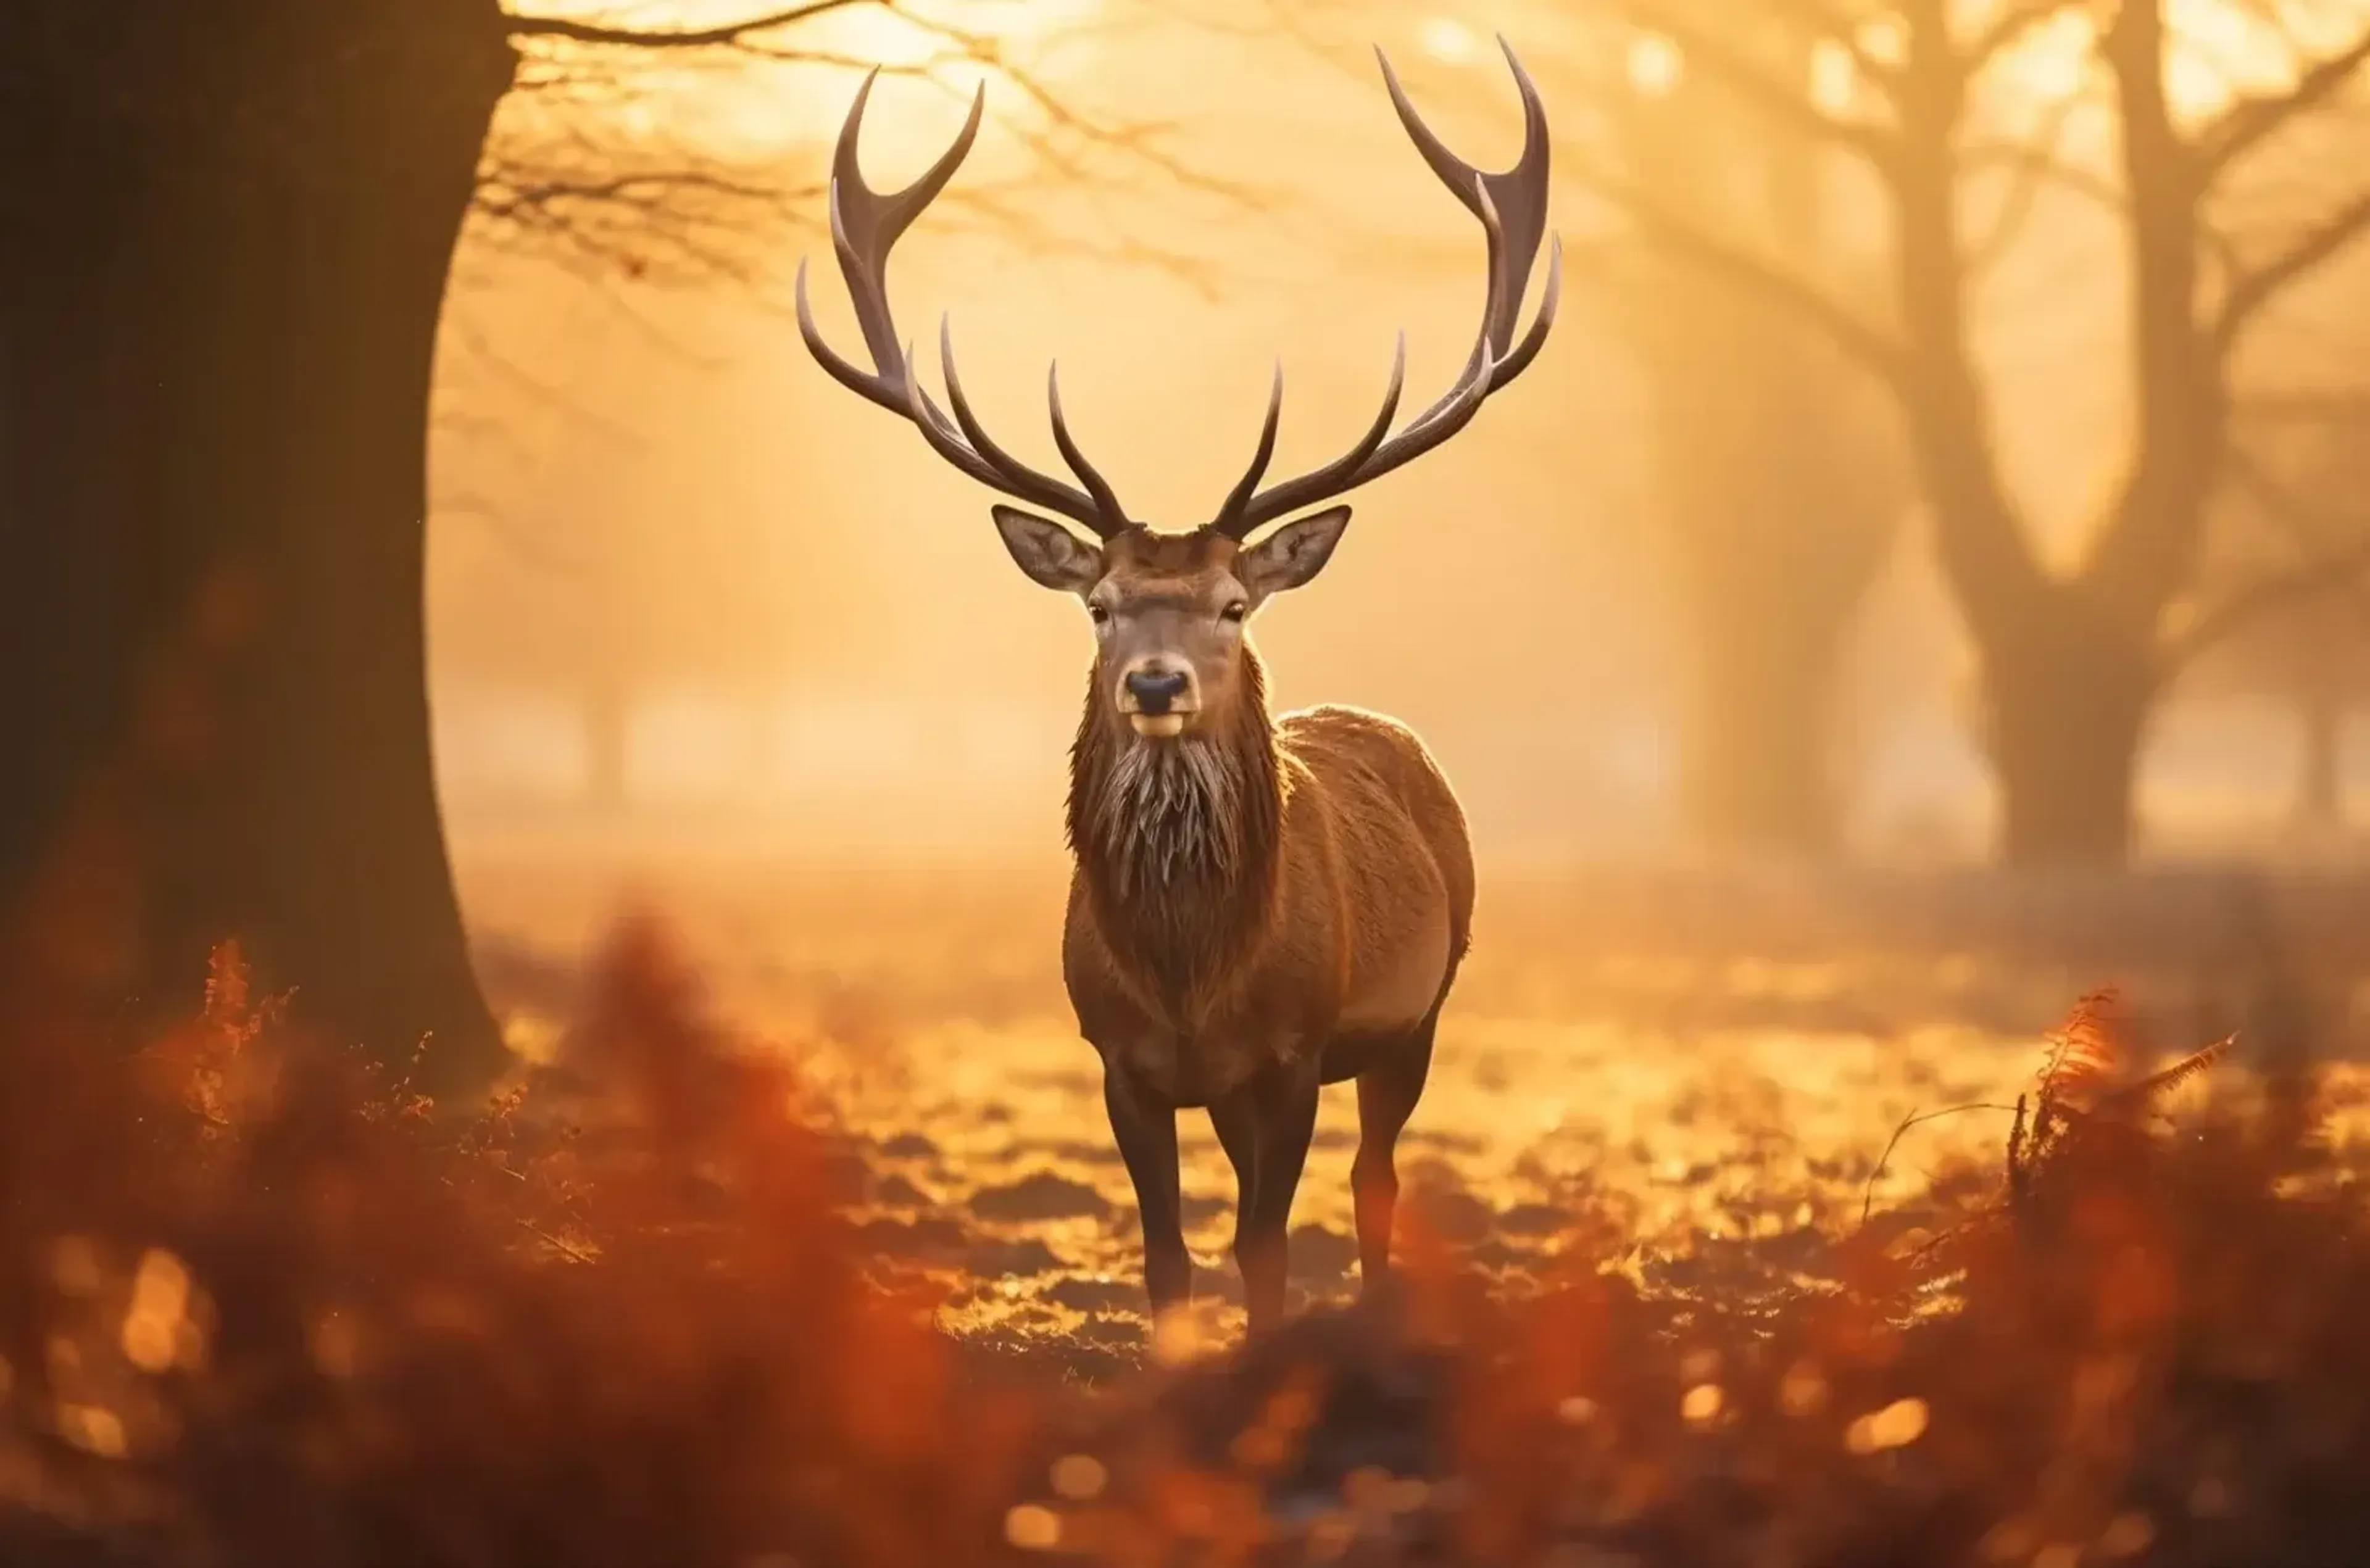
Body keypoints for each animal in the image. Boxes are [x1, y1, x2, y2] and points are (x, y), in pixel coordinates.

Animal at [794, 40, 1559, 1339]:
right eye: (1099, 605)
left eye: (1234, 605)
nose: (1155, 681)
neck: (1194, 977)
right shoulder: (1117, 1058)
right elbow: (1167, 1255)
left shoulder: (1294, 1050)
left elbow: (1265, 1245)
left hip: (1425, 1005)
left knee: (1377, 1181)